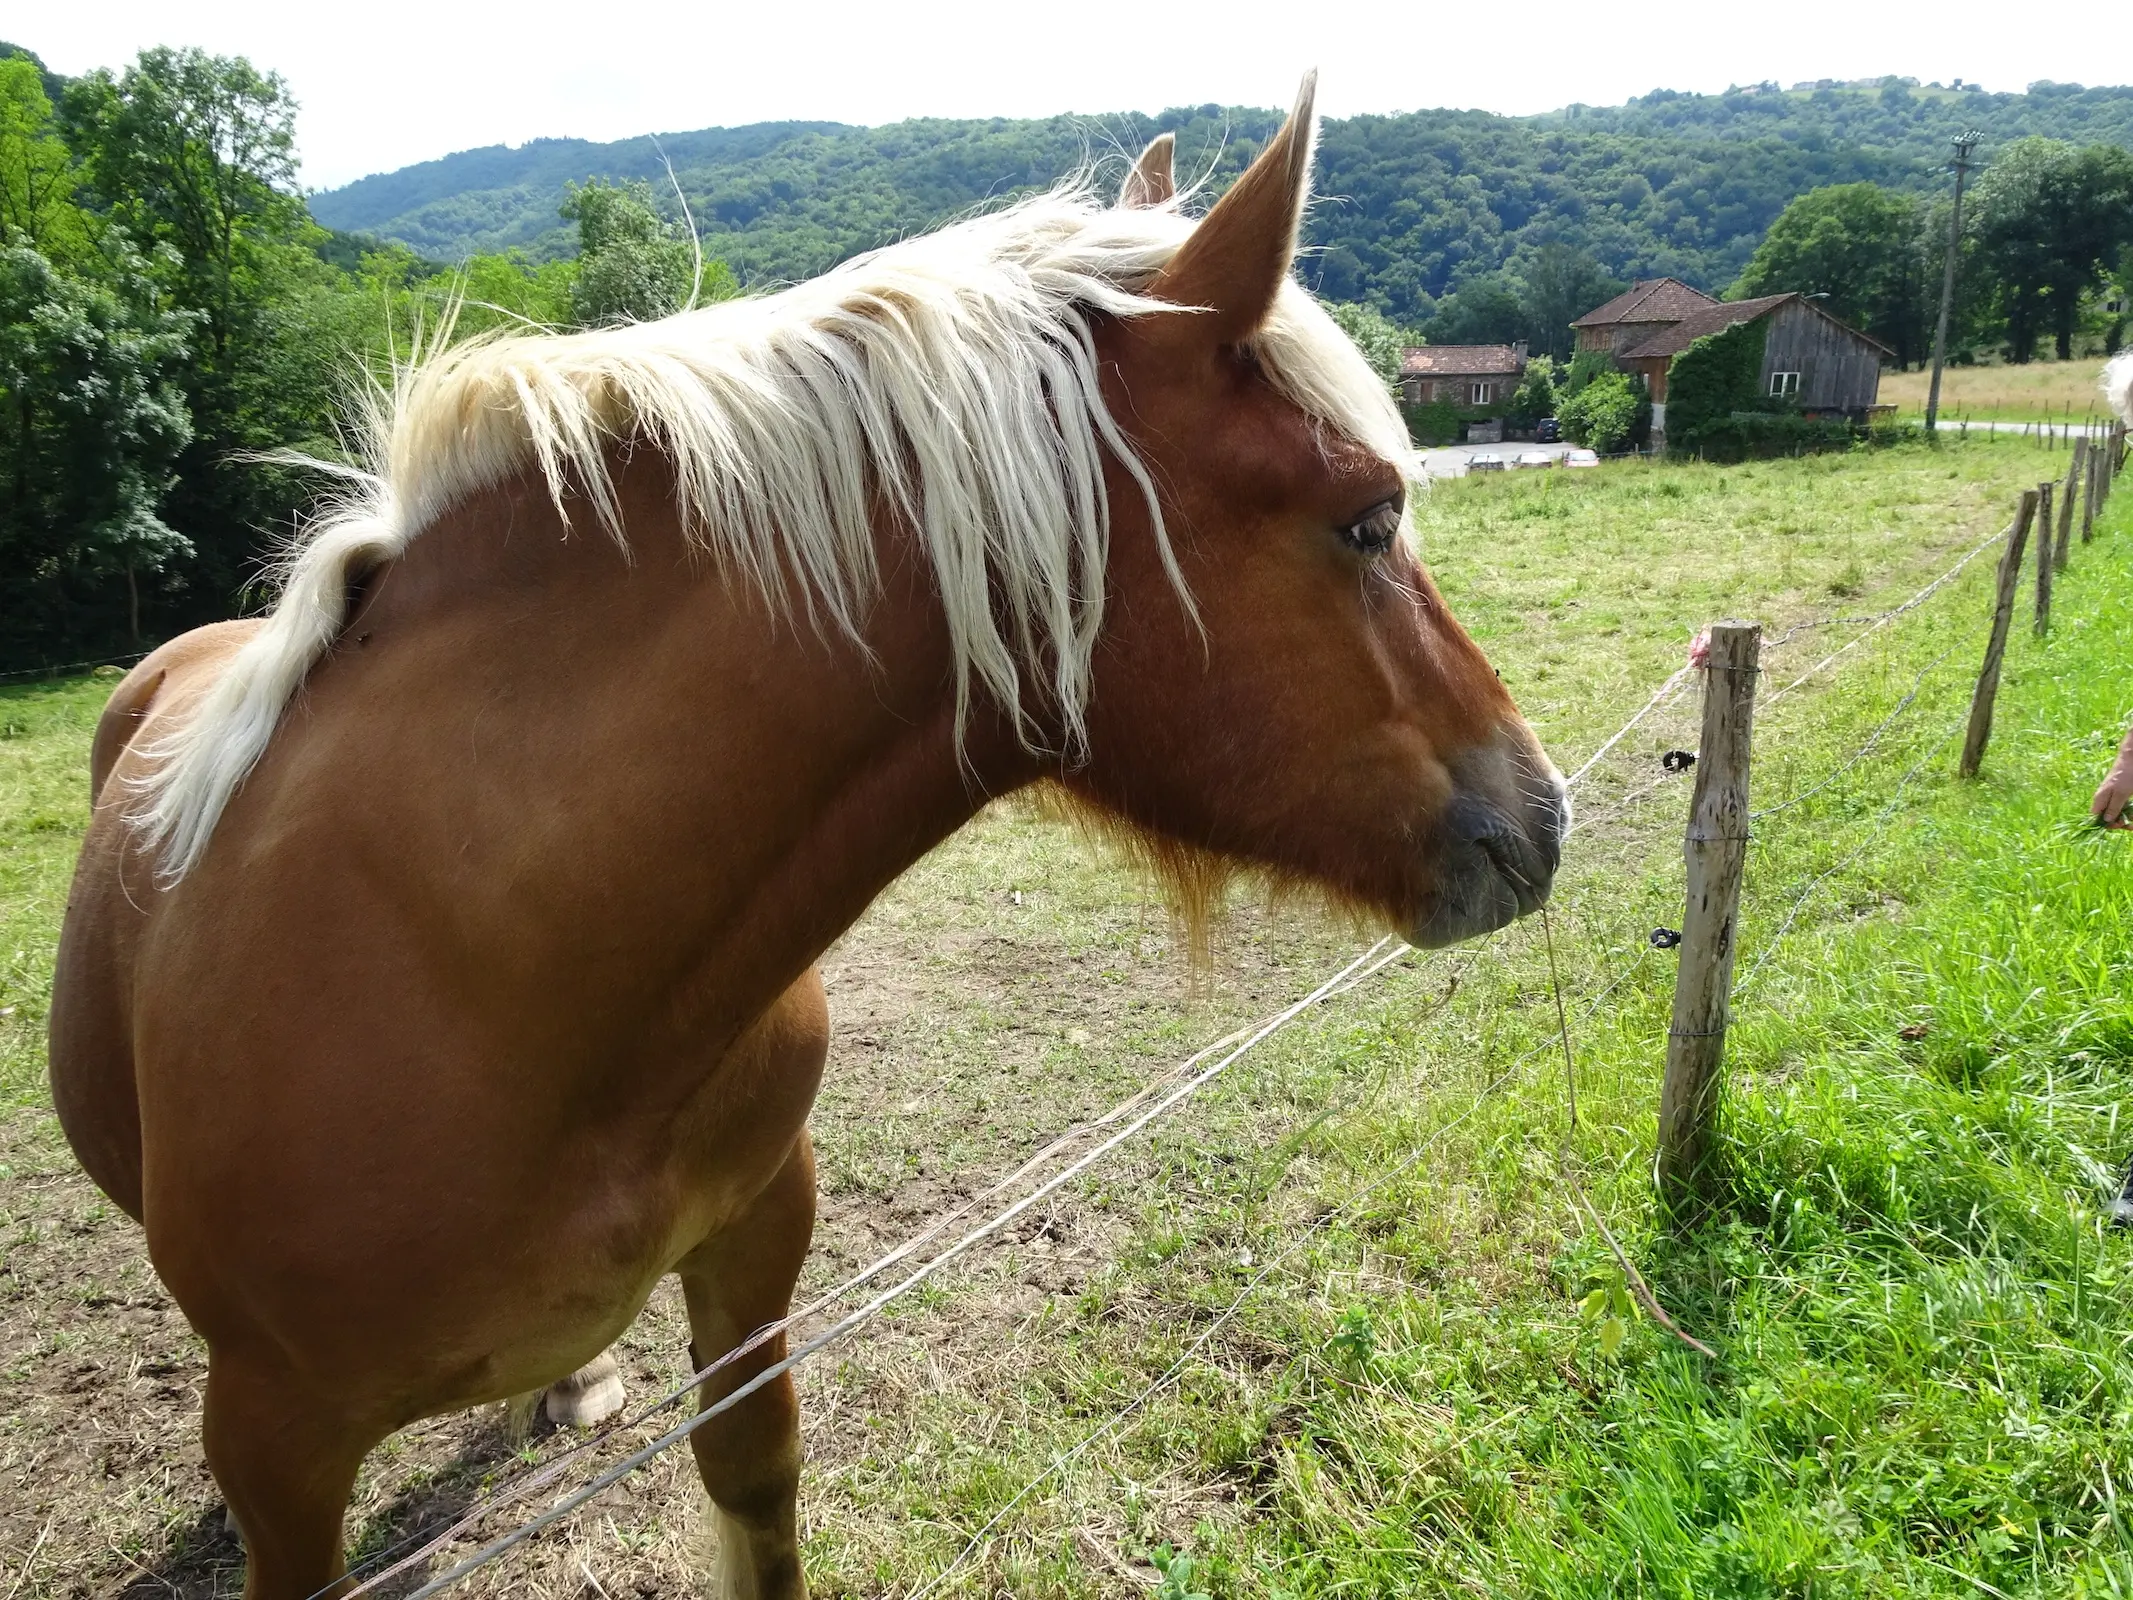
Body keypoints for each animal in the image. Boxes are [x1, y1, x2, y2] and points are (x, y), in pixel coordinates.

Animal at [41, 78, 1561, 1600]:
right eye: (1368, 517)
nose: (1543, 810)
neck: (479, 958)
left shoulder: (756, 1252)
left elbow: (753, 1491)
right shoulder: (281, 1444)